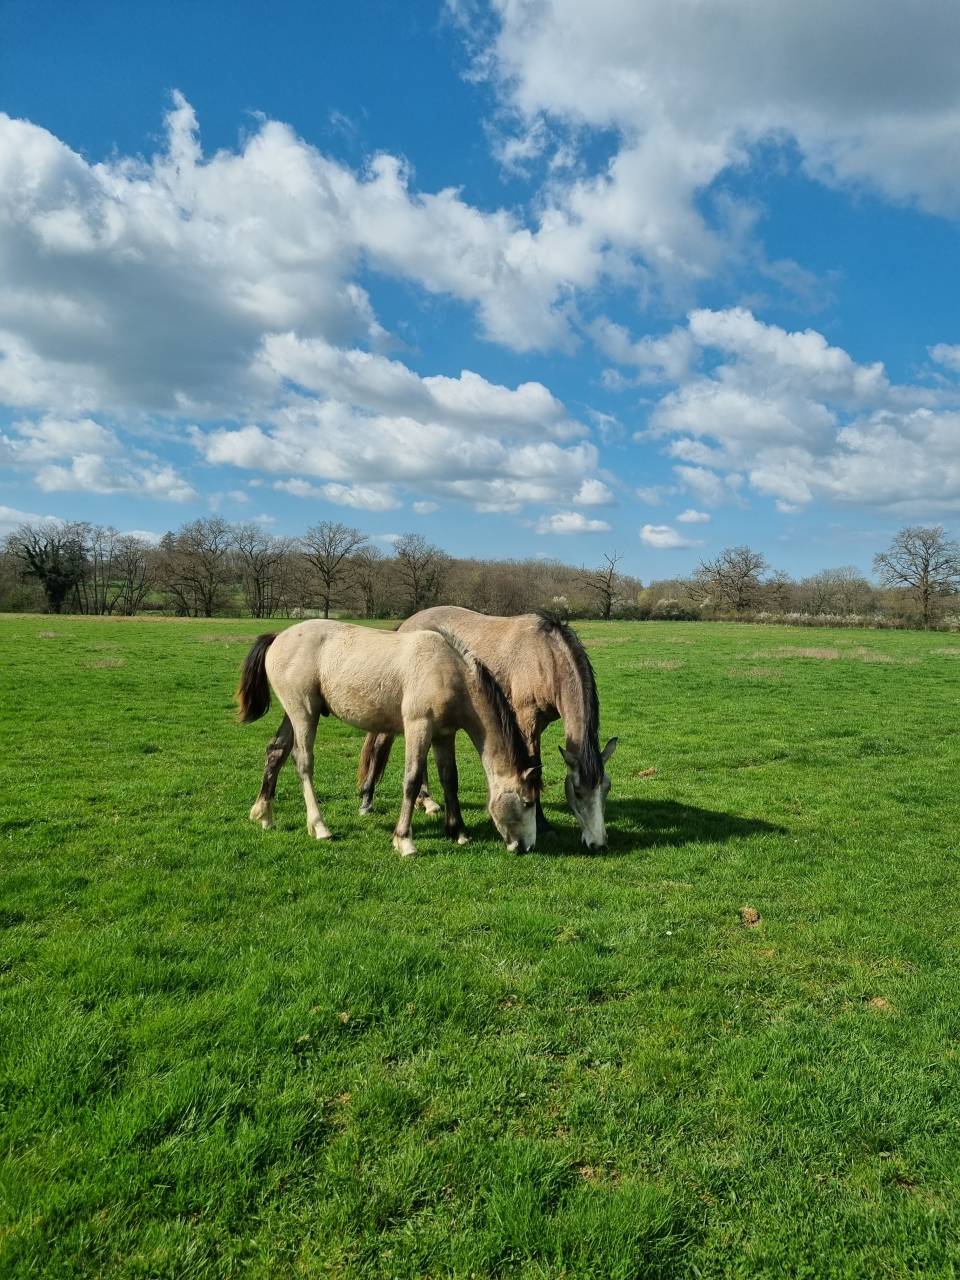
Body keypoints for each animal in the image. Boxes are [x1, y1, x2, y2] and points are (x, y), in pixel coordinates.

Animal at [237, 620, 541, 856]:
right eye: (527, 802)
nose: (526, 846)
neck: (447, 670)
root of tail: (279, 636)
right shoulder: (419, 727)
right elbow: (412, 780)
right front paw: (404, 841)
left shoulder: (444, 735)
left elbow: (450, 779)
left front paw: (459, 832)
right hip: (304, 713)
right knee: (303, 762)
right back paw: (320, 826)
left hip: (293, 714)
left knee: (276, 752)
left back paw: (264, 815)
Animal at [358, 609, 617, 849]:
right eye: (578, 791)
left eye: (606, 788)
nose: (598, 844)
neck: (545, 657)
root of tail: (406, 625)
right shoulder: (527, 722)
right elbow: (534, 768)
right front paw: (543, 824)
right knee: (380, 747)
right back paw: (367, 801)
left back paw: (427, 801)